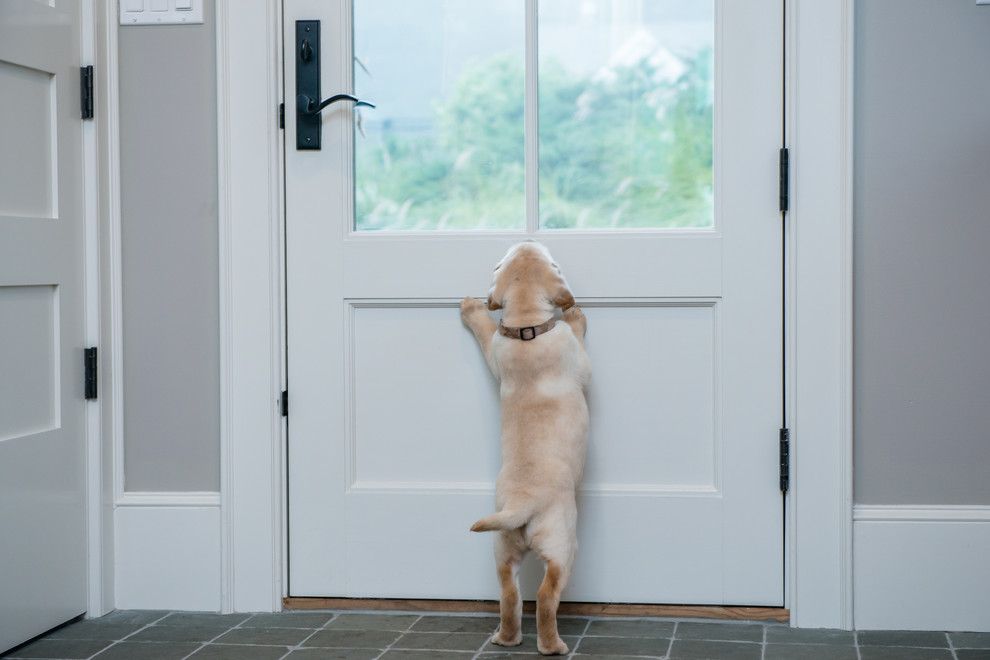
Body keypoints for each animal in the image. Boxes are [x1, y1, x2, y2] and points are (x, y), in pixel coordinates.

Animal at [464, 241, 592, 656]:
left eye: (500, 262)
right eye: (552, 260)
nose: (527, 240)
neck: (526, 330)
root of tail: (523, 503)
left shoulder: (495, 349)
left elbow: (487, 330)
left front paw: (472, 310)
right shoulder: (580, 361)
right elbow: (582, 349)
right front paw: (576, 315)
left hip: (502, 547)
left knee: (509, 596)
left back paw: (506, 638)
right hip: (563, 544)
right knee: (547, 595)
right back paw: (552, 646)